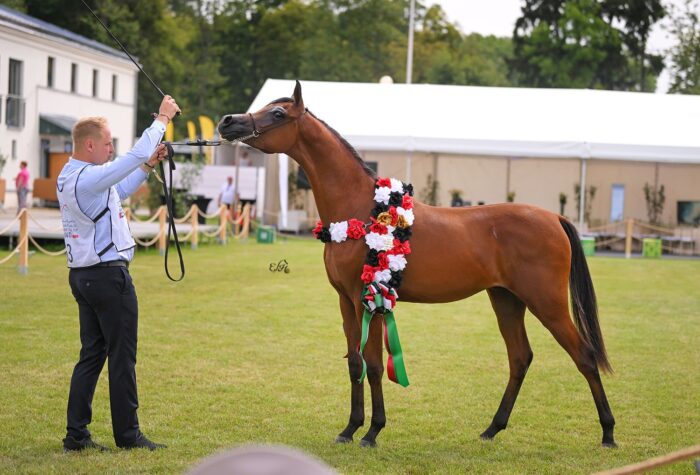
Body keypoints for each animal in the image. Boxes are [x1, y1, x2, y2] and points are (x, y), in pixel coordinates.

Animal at [217, 81, 616, 448]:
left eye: (277, 113)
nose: (227, 122)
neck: (360, 208)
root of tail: (555, 218)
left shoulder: (369, 299)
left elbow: (375, 365)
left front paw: (372, 432)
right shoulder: (346, 301)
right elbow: (354, 362)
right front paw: (349, 429)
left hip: (546, 302)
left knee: (584, 356)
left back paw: (608, 433)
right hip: (506, 299)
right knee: (520, 358)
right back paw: (492, 429)